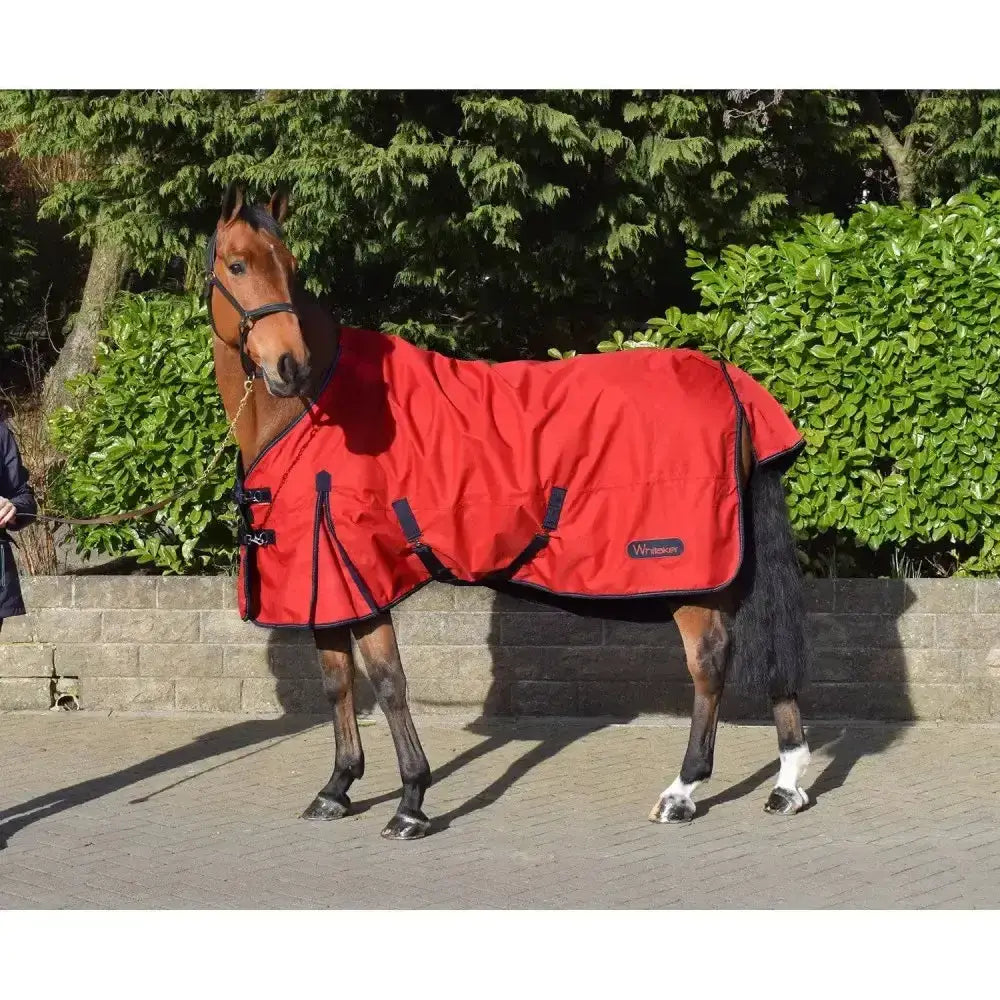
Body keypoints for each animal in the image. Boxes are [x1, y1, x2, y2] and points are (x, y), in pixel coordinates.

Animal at [205, 183, 812, 840]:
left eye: (292, 270)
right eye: (237, 265)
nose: (288, 365)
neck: (319, 407)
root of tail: (728, 377)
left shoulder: (362, 573)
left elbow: (389, 684)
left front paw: (411, 801)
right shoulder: (328, 587)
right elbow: (337, 683)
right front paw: (337, 788)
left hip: (691, 572)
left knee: (710, 664)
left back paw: (682, 792)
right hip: (731, 566)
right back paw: (786, 785)